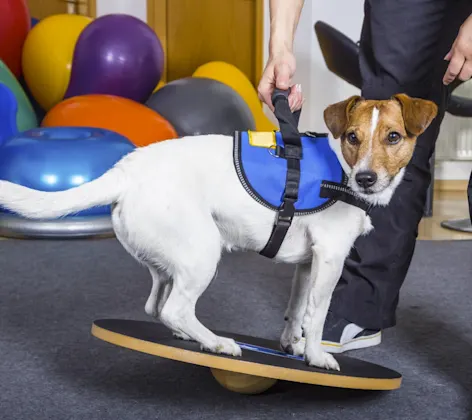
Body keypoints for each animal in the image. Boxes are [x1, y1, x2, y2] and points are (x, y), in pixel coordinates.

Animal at [0, 93, 436, 370]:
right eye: (352, 138)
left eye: (393, 137)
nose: (365, 179)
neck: (341, 170)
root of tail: (125, 170)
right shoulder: (330, 258)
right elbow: (316, 315)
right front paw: (315, 356)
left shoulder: (307, 265)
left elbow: (296, 311)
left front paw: (290, 346)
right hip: (202, 252)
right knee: (175, 308)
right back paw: (216, 342)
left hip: (167, 263)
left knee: (157, 306)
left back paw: (191, 336)